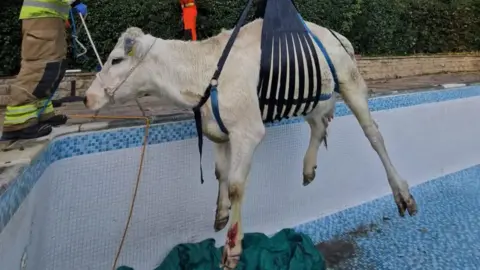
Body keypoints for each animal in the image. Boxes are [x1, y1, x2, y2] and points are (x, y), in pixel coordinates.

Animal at [84, 17, 418, 268]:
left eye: (115, 59)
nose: (88, 97)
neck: (201, 75)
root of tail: (334, 33)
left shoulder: (248, 130)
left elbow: (235, 184)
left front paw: (232, 248)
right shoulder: (217, 129)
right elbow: (220, 173)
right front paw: (220, 214)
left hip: (350, 81)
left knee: (373, 134)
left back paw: (402, 194)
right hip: (309, 94)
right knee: (318, 124)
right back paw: (308, 168)